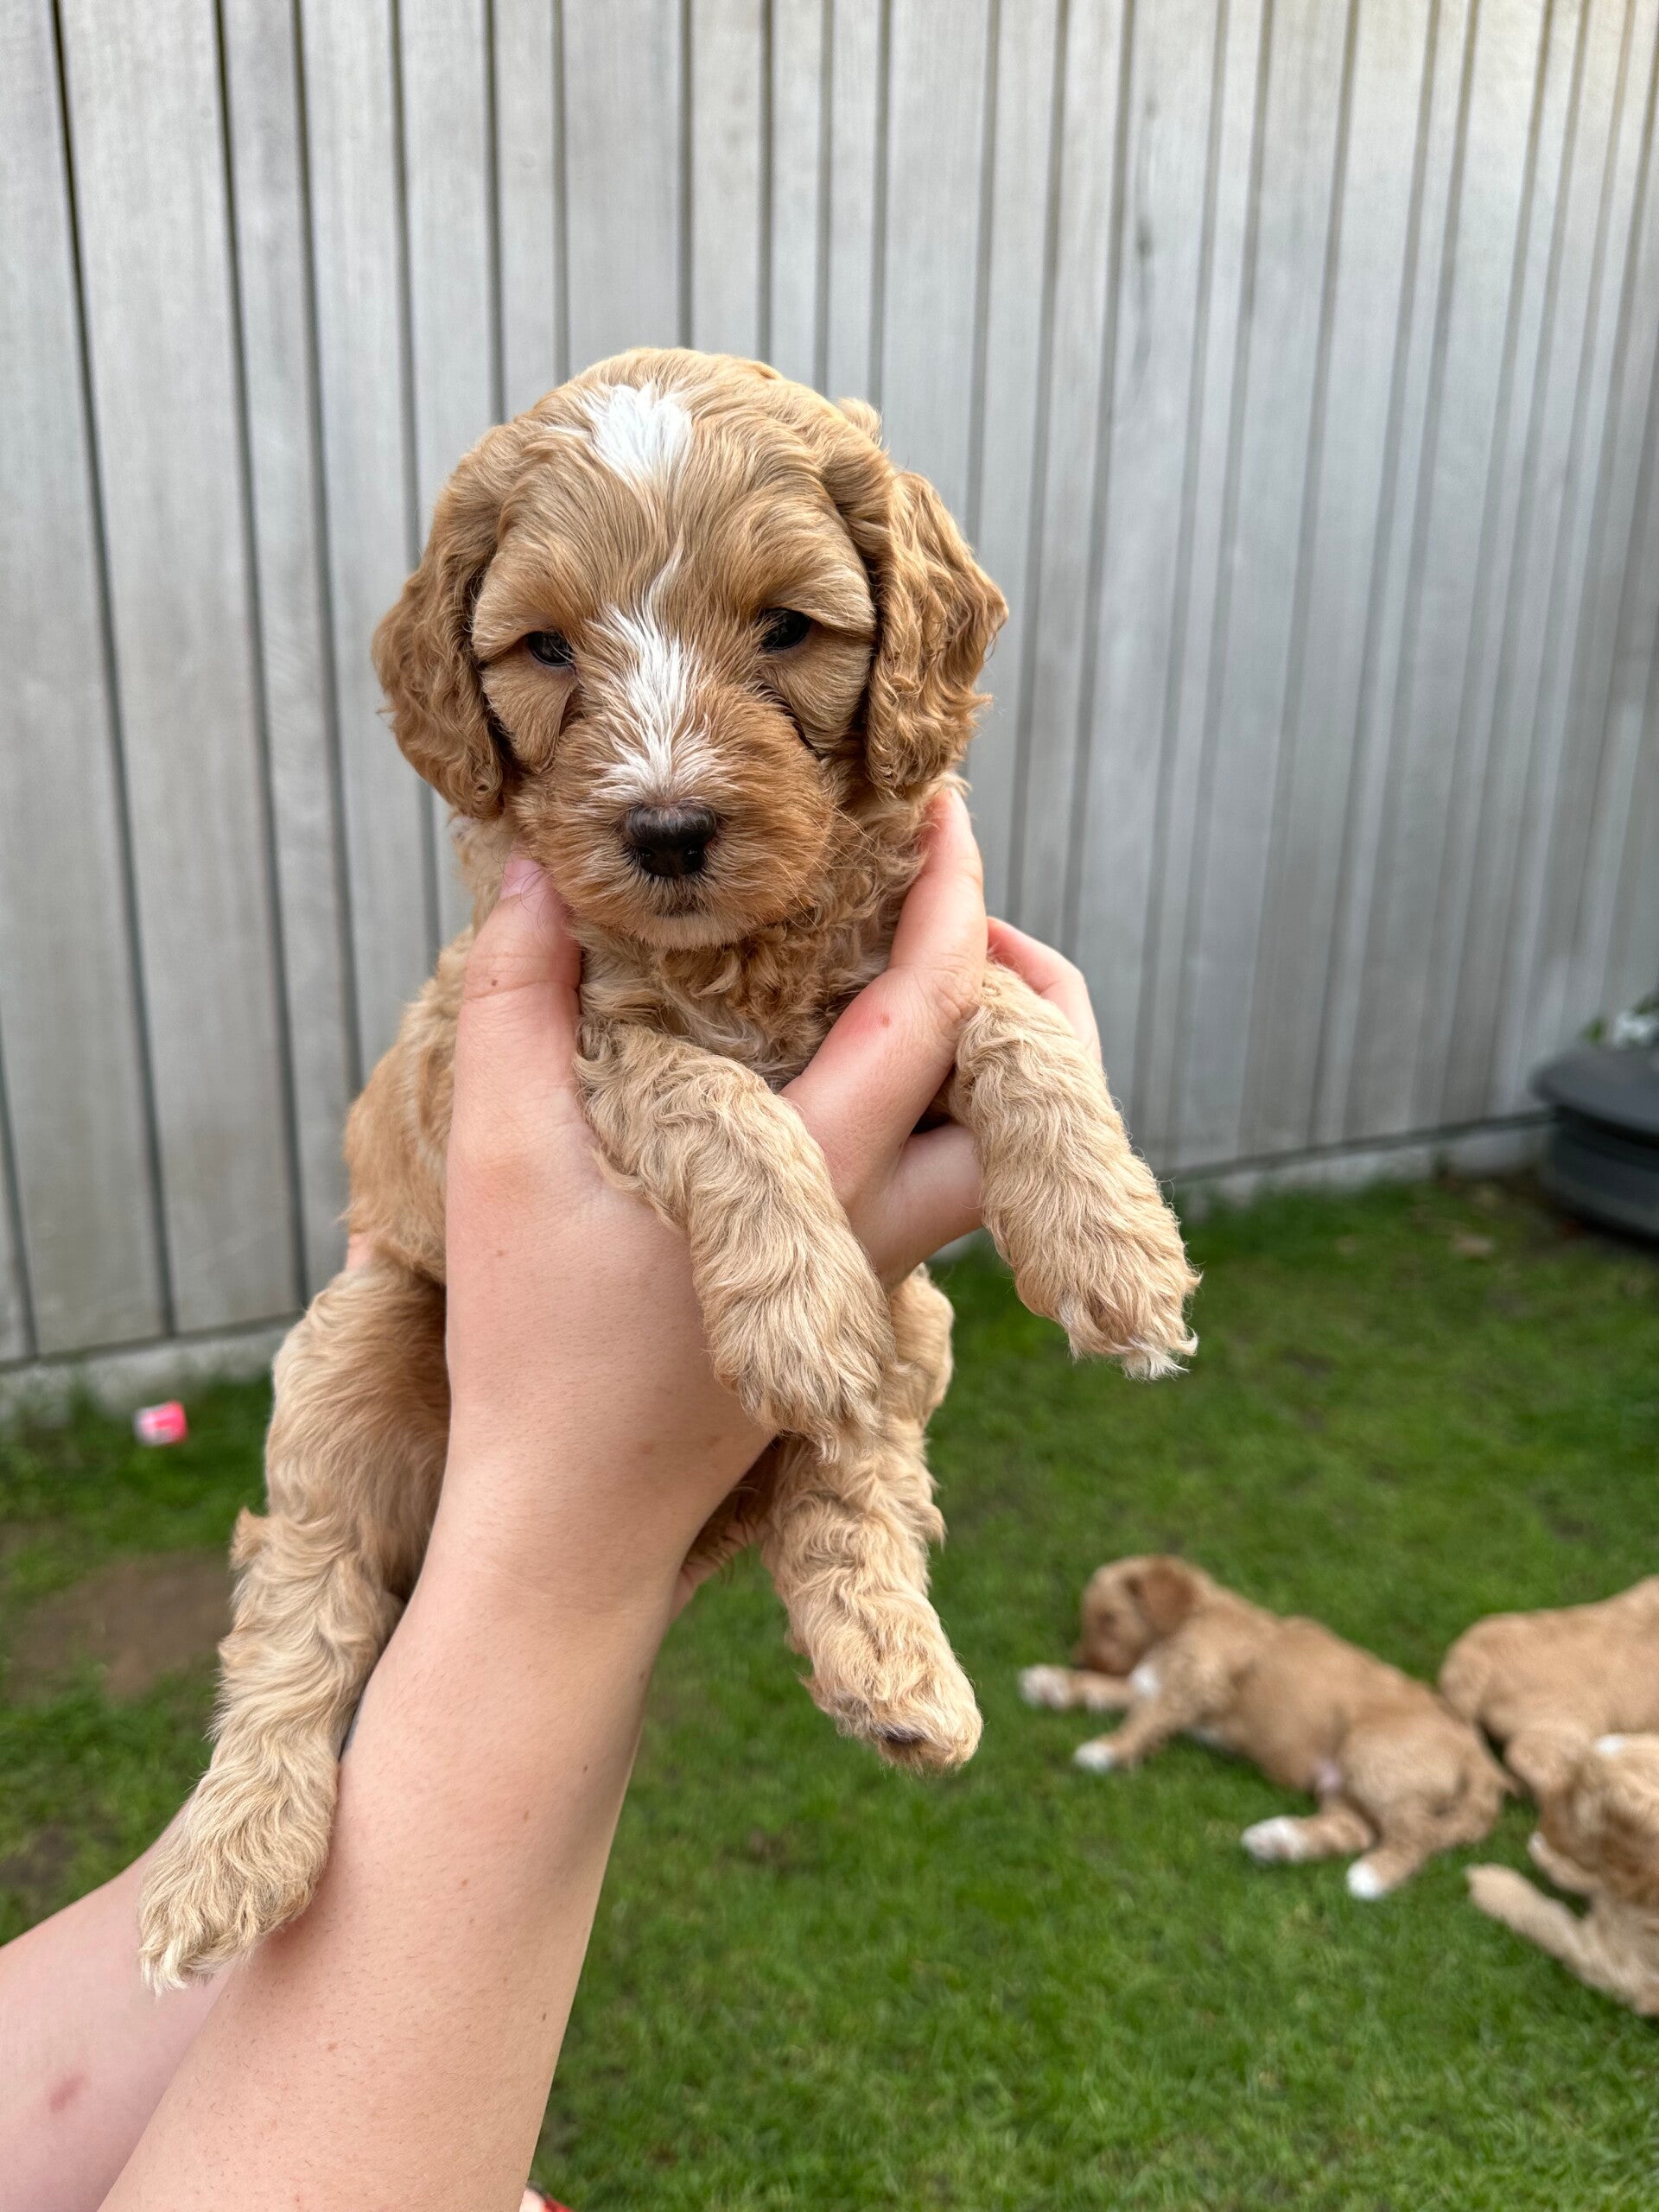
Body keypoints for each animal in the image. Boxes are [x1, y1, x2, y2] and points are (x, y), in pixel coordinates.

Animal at [137, 350, 1197, 1988]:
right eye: (544, 648)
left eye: (788, 628)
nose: (668, 828)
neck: (745, 954)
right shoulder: (584, 1039)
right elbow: (715, 1099)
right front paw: (799, 1308)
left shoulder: (924, 962)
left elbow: (1008, 1013)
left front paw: (1115, 1248)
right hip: (355, 1341)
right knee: (302, 1604)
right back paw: (228, 1860)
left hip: (922, 1327)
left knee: (856, 1476)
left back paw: (893, 1664)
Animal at [1022, 1556, 1507, 1895]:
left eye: (1109, 1618)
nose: (1077, 1659)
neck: (1194, 1616)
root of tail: (1479, 1756)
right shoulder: (1154, 1684)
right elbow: (1109, 1690)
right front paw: (1053, 1683)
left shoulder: (1198, 1683)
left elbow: (1142, 1719)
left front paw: (1108, 1749)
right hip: (1344, 1785)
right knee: (1355, 1830)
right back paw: (1279, 1840)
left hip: (1372, 1754)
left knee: (1417, 1834)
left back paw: (1374, 1876)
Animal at [1467, 1733, 1659, 2013]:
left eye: (1573, 1794)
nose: (1541, 1812)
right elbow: (1600, 1884)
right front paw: (1549, 1857)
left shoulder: (1622, 1968)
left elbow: (1549, 1917)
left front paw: (1494, 1884)